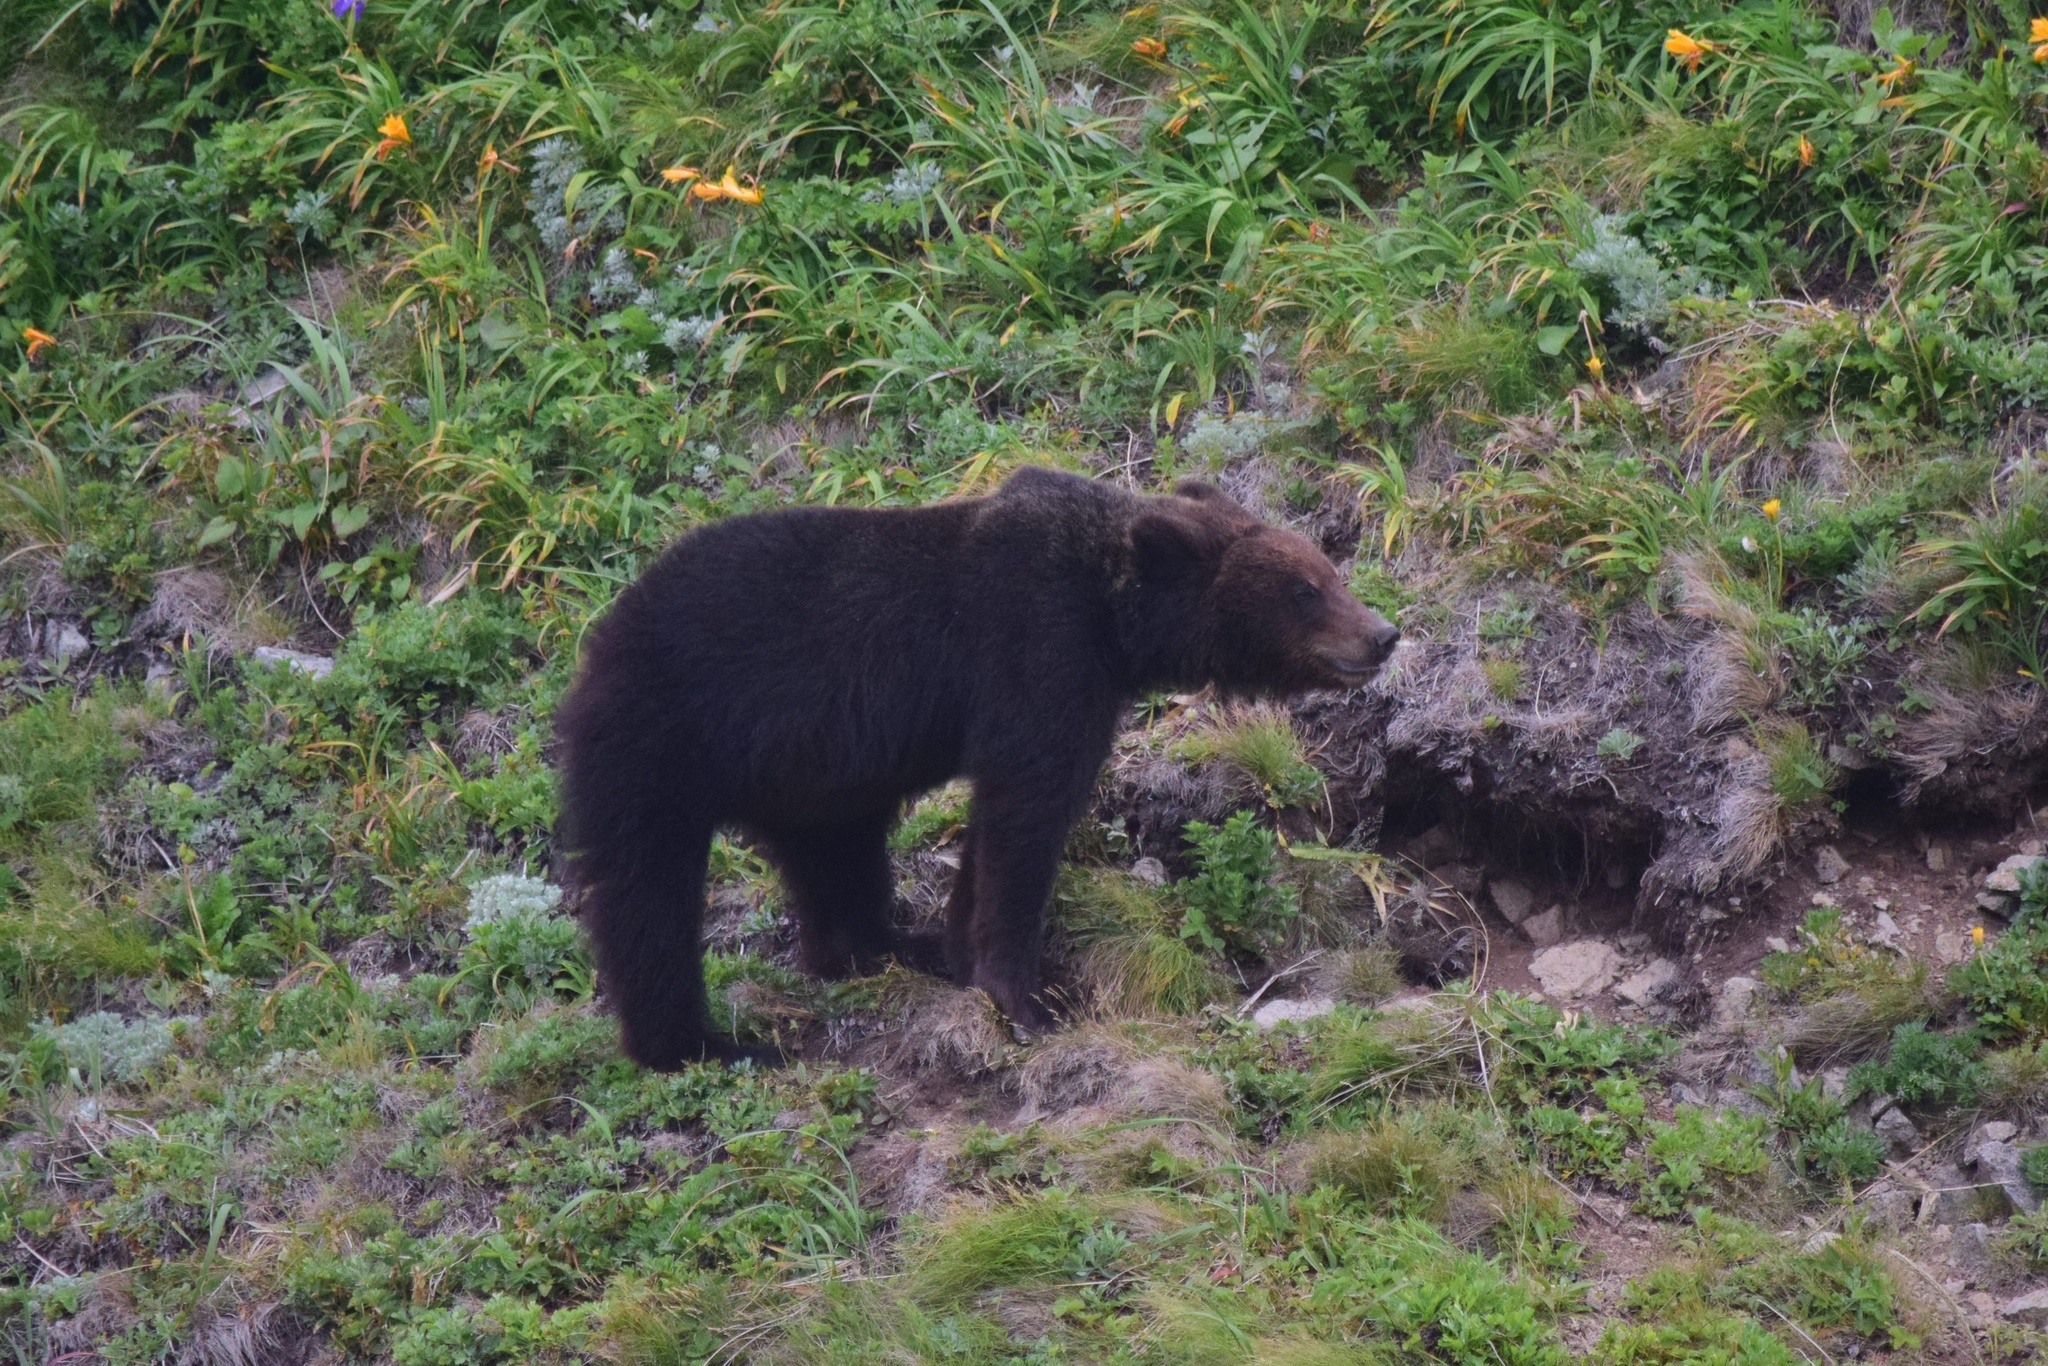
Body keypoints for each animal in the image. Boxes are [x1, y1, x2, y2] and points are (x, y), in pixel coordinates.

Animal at [552, 466, 1400, 1064]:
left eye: (1328, 571)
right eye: (1305, 589)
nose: (1383, 634)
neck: (1115, 617)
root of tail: (598, 638)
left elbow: (1001, 823)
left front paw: (962, 948)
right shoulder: (1036, 648)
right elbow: (1028, 810)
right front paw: (1024, 1001)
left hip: (812, 780)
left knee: (838, 857)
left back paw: (884, 947)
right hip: (662, 741)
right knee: (647, 894)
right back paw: (701, 1045)